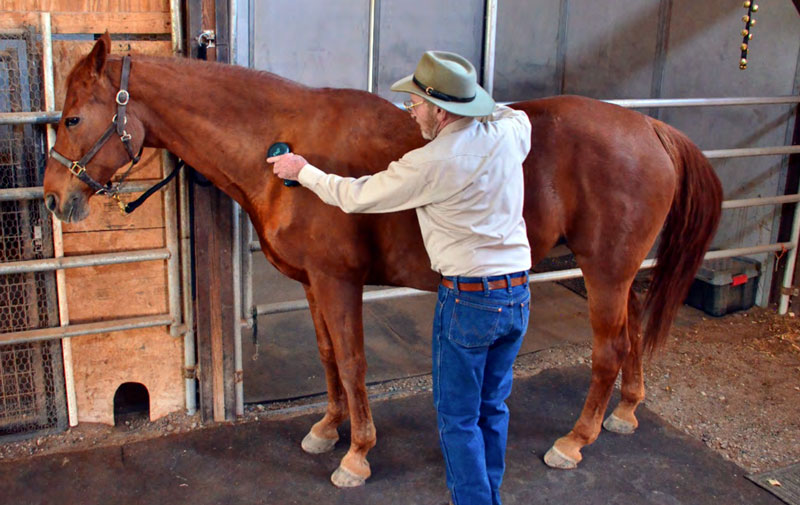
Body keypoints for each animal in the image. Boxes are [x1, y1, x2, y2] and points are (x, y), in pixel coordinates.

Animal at [40, 35, 720, 484]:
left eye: (72, 118)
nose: (52, 197)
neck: (279, 144)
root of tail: (650, 129)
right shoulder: (313, 284)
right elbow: (327, 357)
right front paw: (326, 430)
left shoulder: (339, 282)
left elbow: (353, 361)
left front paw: (357, 453)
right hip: (621, 273)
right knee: (634, 327)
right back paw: (625, 413)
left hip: (603, 270)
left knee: (609, 349)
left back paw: (575, 441)